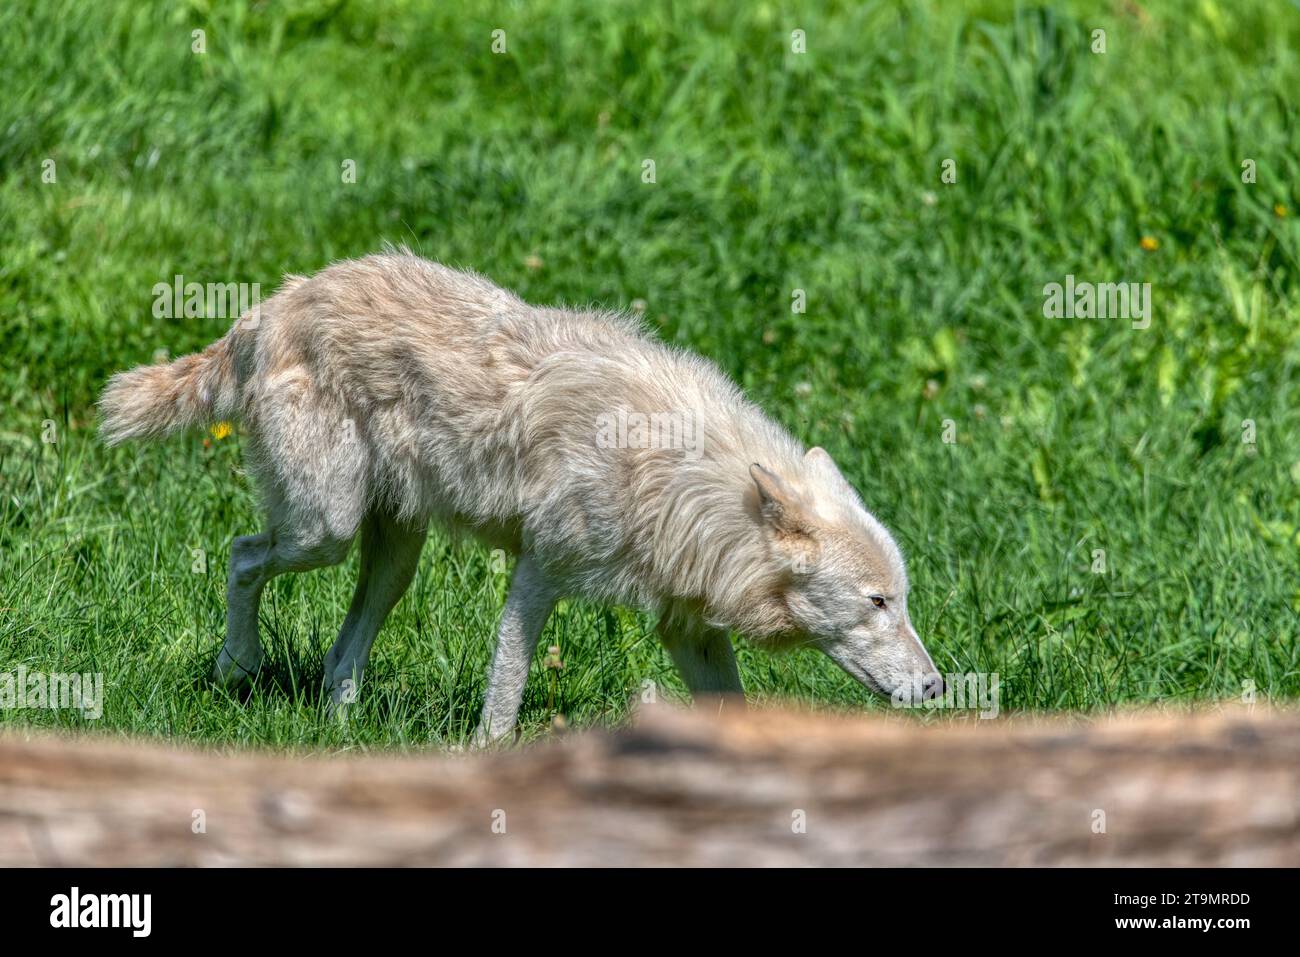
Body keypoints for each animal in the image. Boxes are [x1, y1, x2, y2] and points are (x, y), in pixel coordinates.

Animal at [98, 250, 935, 743]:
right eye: (877, 603)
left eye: (901, 601)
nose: (935, 684)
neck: (683, 482)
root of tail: (270, 306)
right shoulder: (538, 573)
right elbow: (506, 691)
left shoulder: (687, 627)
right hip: (321, 532)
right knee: (242, 555)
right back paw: (236, 668)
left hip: (395, 556)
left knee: (342, 647)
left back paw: (341, 735)